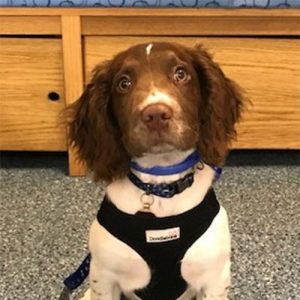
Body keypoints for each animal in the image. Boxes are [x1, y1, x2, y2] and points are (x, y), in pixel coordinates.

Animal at [66, 41, 244, 298]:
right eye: (123, 83)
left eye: (181, 74)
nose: (156, 115)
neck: (161, 189)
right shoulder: (104, 276)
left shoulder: (214, 278)